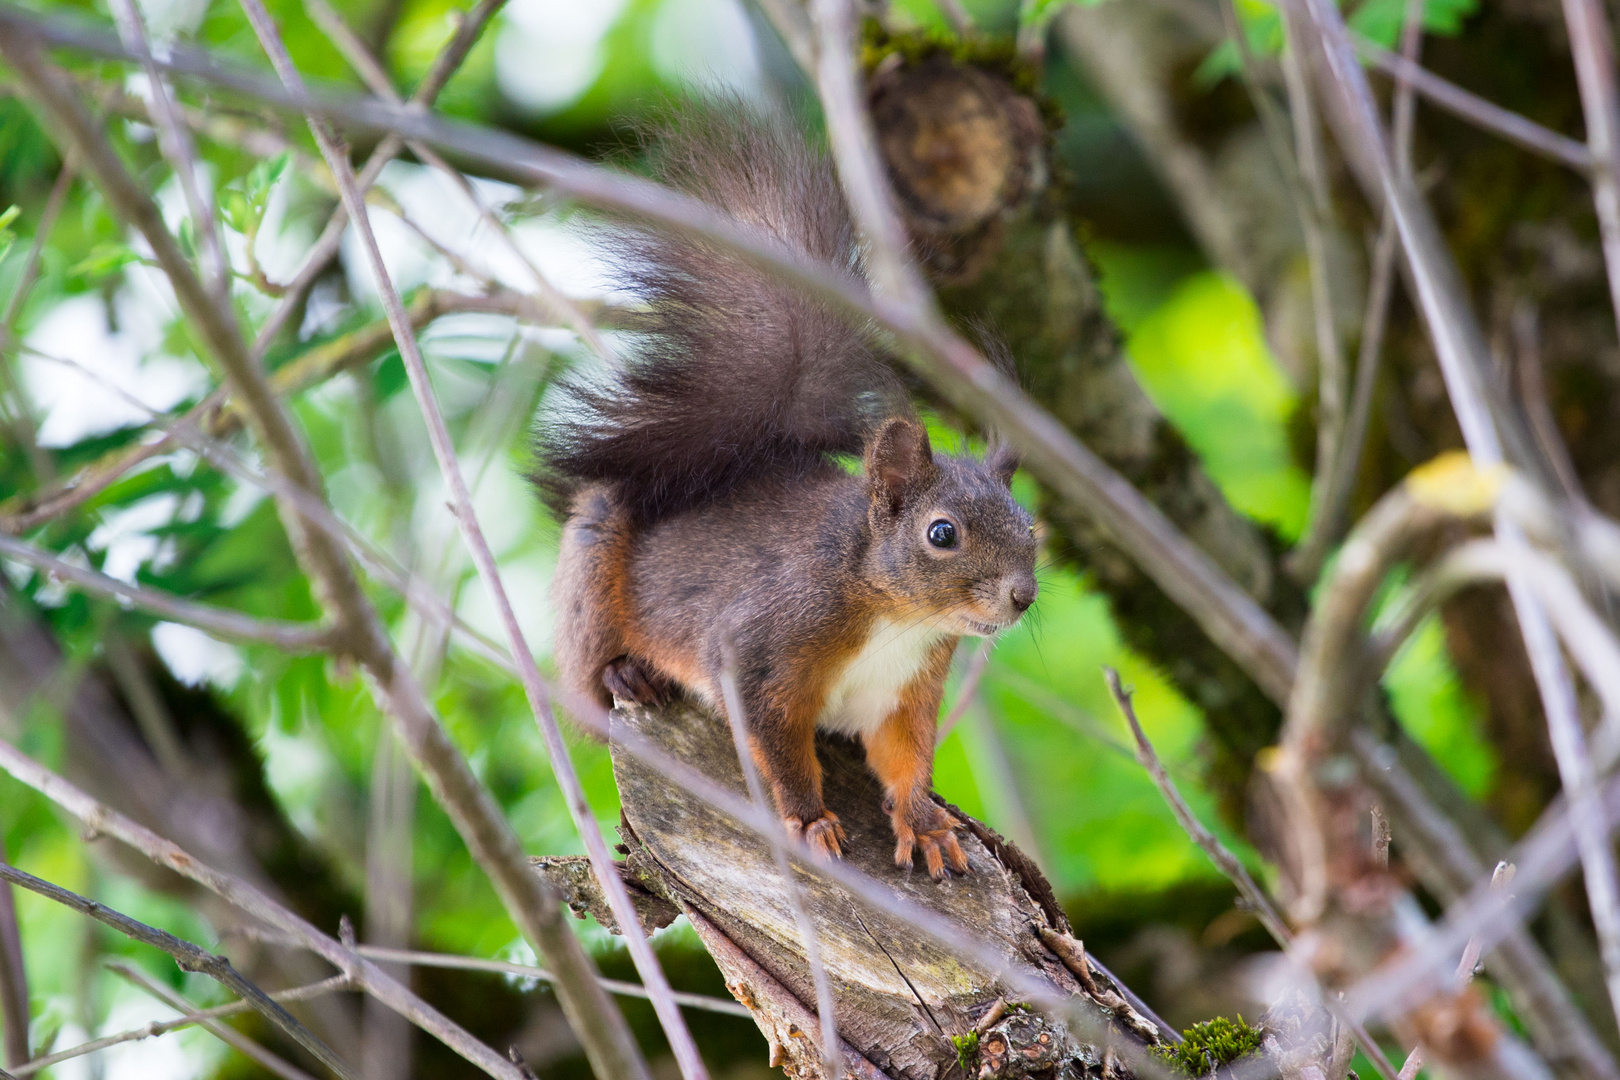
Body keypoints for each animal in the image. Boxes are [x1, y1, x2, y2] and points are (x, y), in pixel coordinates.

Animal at [534, 105, 1036, 880]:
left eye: (1030, 527)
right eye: (941, 533)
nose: (1023, 596)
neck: (895, 616)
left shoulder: (906, 693)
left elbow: (907, 762)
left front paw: (925, 824)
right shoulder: (759, 649)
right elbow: (778, 747)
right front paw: (808, 819)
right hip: (594, 566)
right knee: (588, 675)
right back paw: (627, 675)